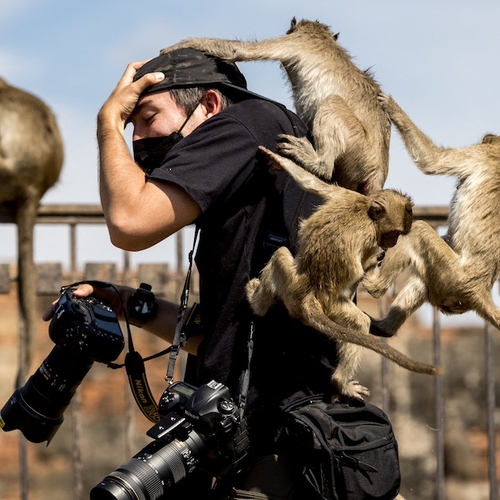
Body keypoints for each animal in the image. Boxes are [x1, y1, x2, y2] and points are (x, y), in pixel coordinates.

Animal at [160, 17, 390, 194]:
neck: (322, 37)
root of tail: (378, 170)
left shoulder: (297, 41)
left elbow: (239, 51)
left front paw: (180, 45)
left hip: (357, 147)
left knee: (332, 103)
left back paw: (318, 163)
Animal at [244, 146, 440, 400]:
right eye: (393, 233)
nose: (392, 243)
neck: (366, 212)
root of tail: (309, 296)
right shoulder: (368, 234)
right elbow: (363, 275)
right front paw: (372, 263)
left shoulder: (346, 196)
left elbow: (311, 183)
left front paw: (280, 160)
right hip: (332, 307)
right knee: (358, 324)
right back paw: (340, 382)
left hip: (291, 286)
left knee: (280, 256)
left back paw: (257, 305)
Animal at [362, 92, 500, 338]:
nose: (487, 138)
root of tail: (480, 288)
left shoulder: (479, 154)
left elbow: (432, 161)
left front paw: (392, 107)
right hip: (450, 286)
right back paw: (385, 328)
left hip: (454, 278)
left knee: (417, 231)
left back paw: (374, 286)